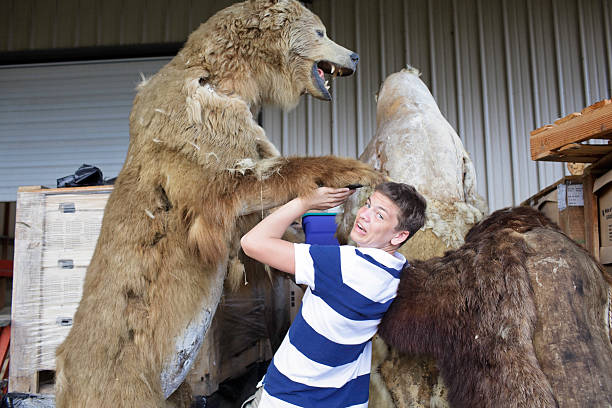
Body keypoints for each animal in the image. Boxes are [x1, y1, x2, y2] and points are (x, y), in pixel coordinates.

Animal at [56, 1, 382, 406]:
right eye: (321, 31)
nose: (354, 54)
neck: (233, 80)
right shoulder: (195, 133)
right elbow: (238, 187)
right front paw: (352, 170)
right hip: (126, 374)